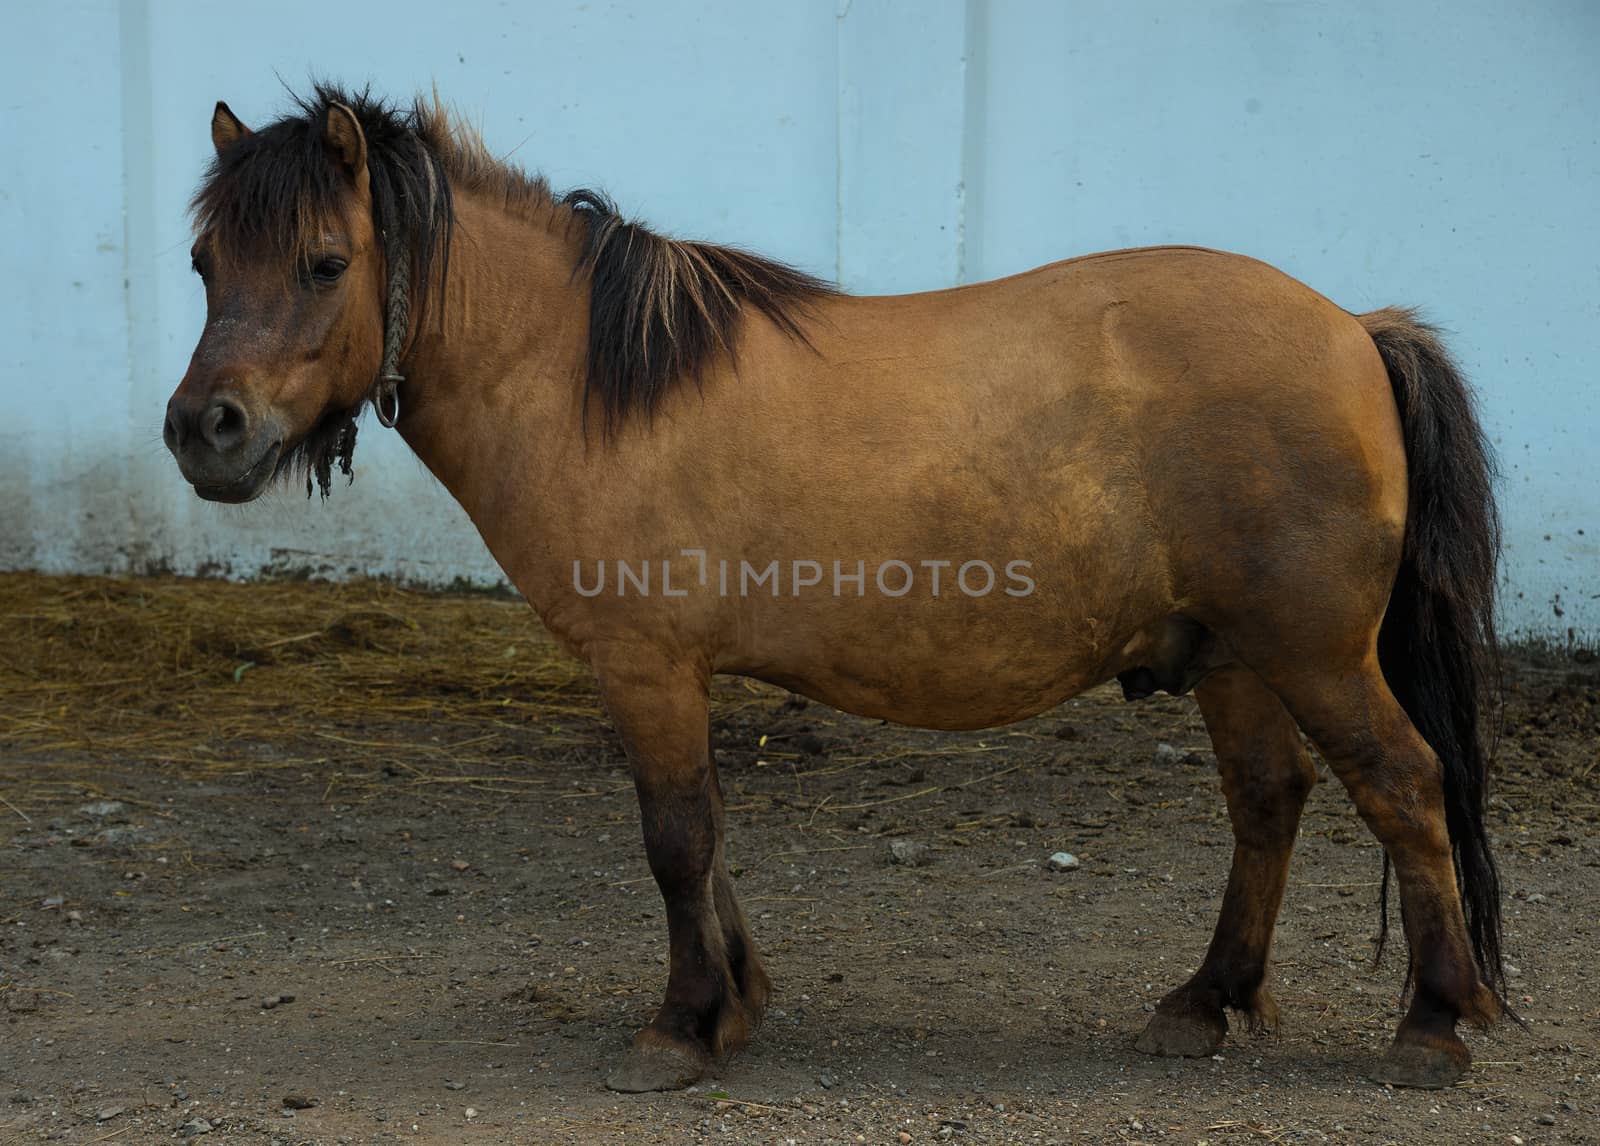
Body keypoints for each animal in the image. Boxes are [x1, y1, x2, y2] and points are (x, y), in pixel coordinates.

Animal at [168, 87, 1504, 1094]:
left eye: (325, 262)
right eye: (201, 262)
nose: (203, 431)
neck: (586, 383)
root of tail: (1352, 327)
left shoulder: (647, 669)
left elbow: (674, 841)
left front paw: (678, 1027)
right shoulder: (675, 677)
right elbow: (708, 839)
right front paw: (735, 1004)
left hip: (1314, 653)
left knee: (1403, 786)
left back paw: (1431, 1024)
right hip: (1233, 656)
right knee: (1268, 801)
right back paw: (1202, 1002)